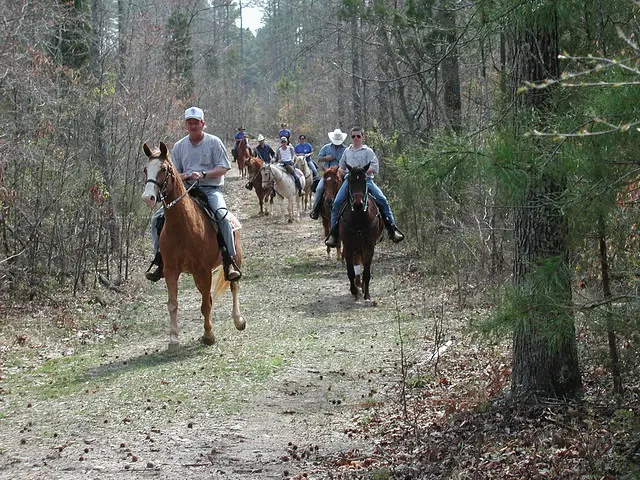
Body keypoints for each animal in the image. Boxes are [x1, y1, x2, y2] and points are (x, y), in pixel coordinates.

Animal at [141, 142, 244, 348]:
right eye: (146, 169)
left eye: (163, 169)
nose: (148, 197)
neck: (183, 226)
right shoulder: (171, 270)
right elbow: (173, 303)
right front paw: (173, 338)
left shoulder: (203, 270)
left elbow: (205, 304)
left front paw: (209, 335)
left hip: (234, 260)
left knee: (233, 285)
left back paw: (238, 320)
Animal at [340, 164, 384, 300]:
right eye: (350, 181)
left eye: (365, 181)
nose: (358, 204)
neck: (358, 218)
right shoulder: (348, 246)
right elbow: (350, 271)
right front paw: (354, 290)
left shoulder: (369, 245)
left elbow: (367, 271)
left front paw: (367, 294)